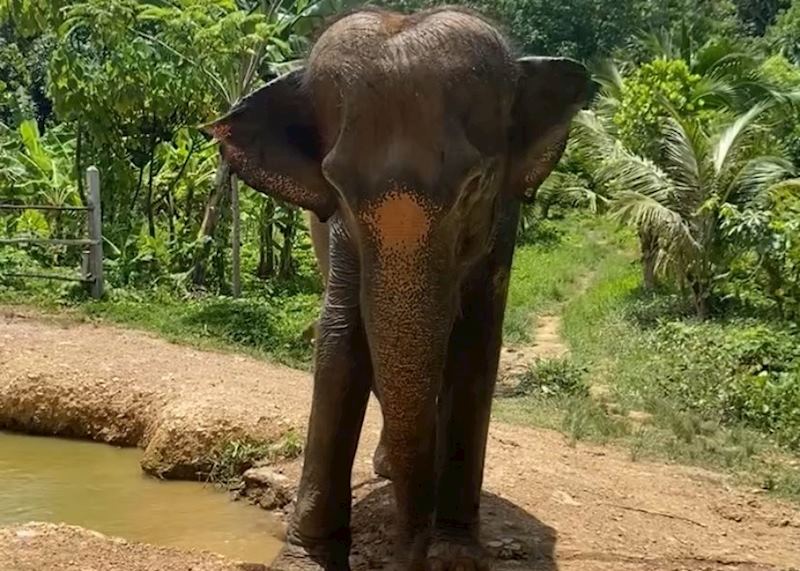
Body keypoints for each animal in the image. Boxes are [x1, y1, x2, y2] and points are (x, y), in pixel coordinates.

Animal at [206, 6, 589, 570]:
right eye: (337, 188)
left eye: (476, 185)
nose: (409, 556)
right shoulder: (341, 234)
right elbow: (341, 340)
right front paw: (307, 558)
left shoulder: (503, 225)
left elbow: (476, 344)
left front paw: (455, 556)